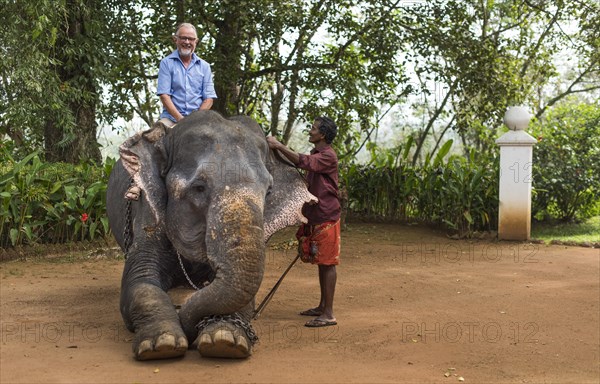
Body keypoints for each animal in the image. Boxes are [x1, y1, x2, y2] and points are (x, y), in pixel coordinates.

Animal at [105, 110, 316, 360]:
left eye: (269, 191)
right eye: (199, 187)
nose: (187, 326)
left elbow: (245, 296)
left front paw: (225, 341)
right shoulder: (148, 212)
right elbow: (140, 281)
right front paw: (161, 344)